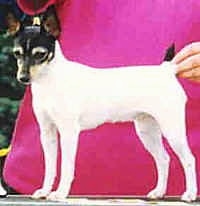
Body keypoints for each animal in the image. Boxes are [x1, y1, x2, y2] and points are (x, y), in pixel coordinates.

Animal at [7, 6, 198, 203]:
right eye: (17, 53)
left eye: (40, 54)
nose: (23, 78)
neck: (50, 80)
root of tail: (166, 70)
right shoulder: (47, 133)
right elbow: (50, 168)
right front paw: (45, 190)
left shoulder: (69, 133)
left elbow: (66, 166)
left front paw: (60, 193)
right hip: (147, 131)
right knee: (163, 159)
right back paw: (158, 192)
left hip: (172, 130)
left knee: (189, 159)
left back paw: (190, 193)